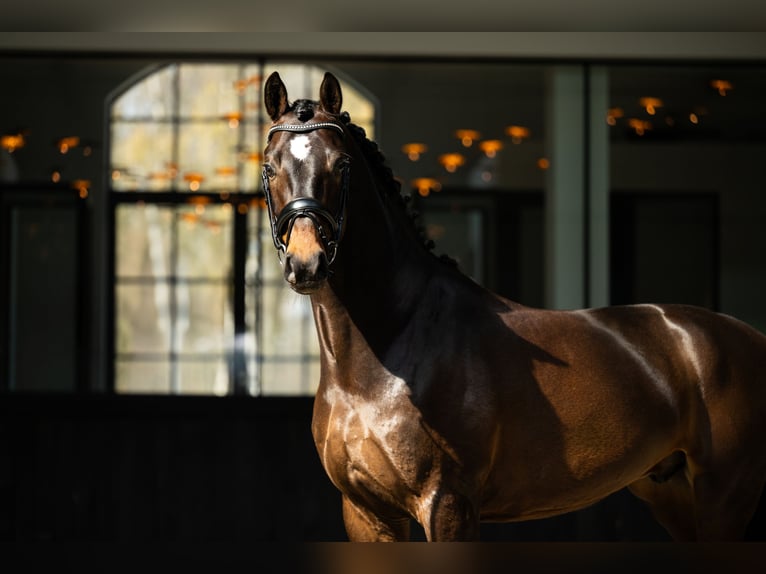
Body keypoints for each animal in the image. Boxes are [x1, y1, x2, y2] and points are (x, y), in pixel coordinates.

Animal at [261, 70, 766, 541]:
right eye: (269, 167)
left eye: (341, 164)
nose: (306, 263)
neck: (387, 351)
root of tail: (749, 337)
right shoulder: (366, 512)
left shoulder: (447, 505)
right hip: (673, 493)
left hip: (724, 500)